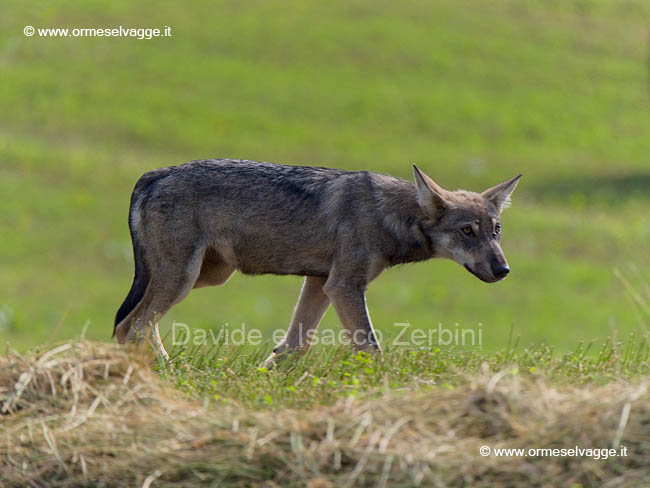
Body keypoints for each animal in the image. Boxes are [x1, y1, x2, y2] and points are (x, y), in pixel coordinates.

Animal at [114, 160, 520, 362]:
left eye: (496, 231)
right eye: (467, 231)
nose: (503, 270)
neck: (388, 213)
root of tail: (153, 175)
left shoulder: (321, 284)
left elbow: (292, 348)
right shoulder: (344, 286)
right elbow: (371, 348)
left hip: (208, 276)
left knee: (131, 325)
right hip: (183, 279)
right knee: (133, 326)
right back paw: (164, 374)